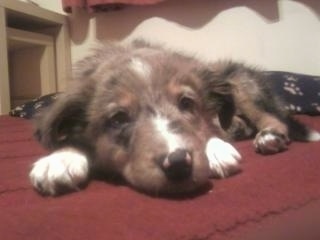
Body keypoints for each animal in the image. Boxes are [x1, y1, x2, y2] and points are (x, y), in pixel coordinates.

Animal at [28, 39, 318, 195]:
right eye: (119, 119)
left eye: (186, 104)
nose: (179, 163)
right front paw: (60, 159)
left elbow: (208, 128)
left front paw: (216, 150)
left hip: (242, 86)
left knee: (273, 118)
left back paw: (269, 136)